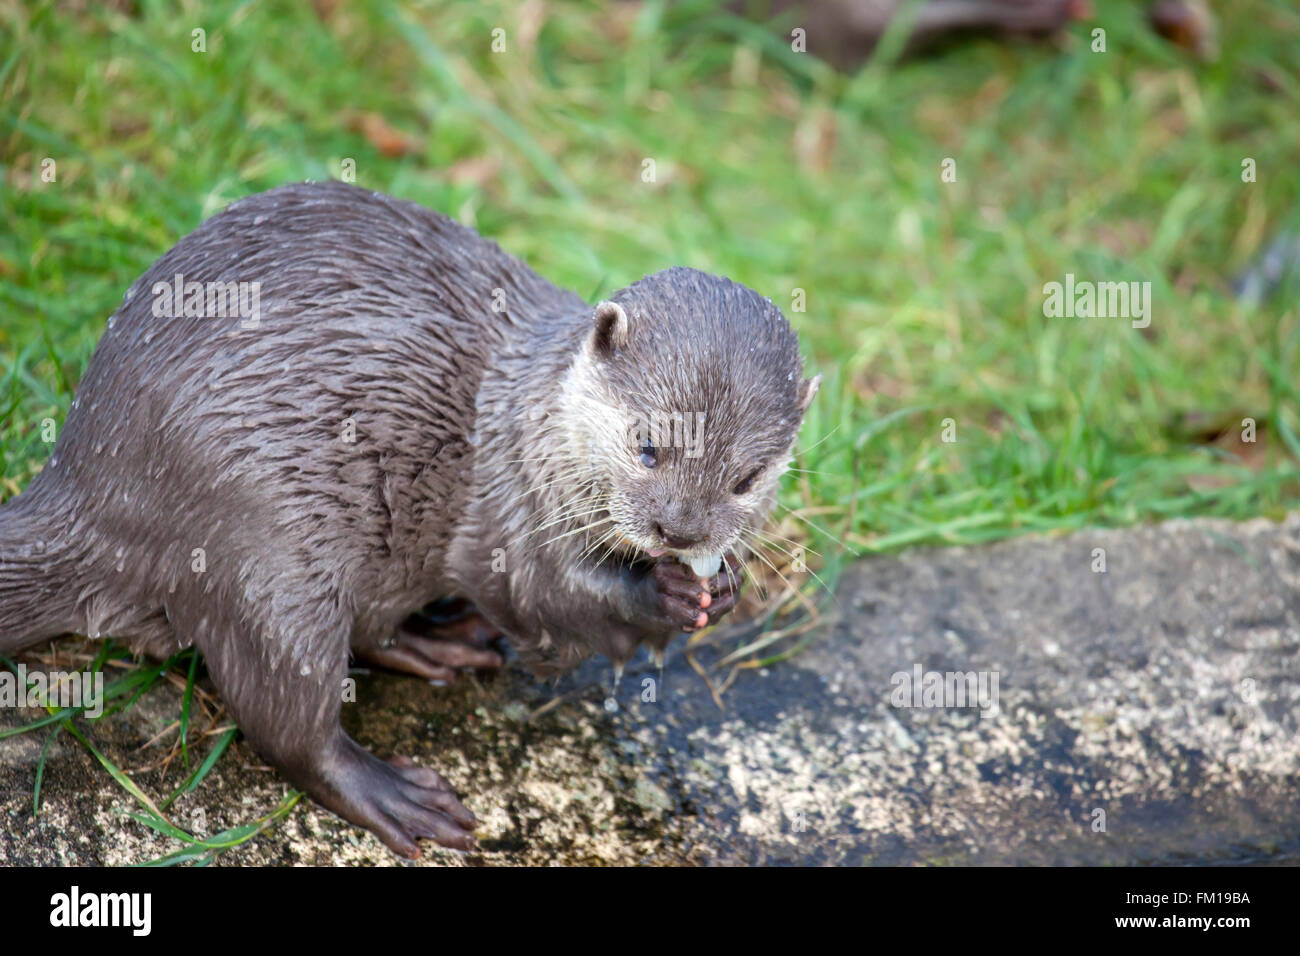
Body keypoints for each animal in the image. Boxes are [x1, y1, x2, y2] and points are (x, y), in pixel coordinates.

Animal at [0, 180, 816, 858]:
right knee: (285, 721)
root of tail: (88, 475)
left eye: (745, 479)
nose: (681, 533)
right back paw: (394, 795)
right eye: (647, 445)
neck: (531, 420)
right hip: (264, 552)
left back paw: (439, 643)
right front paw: (664, 592)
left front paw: (722, 585)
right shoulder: (510, 509)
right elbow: (546, 600)